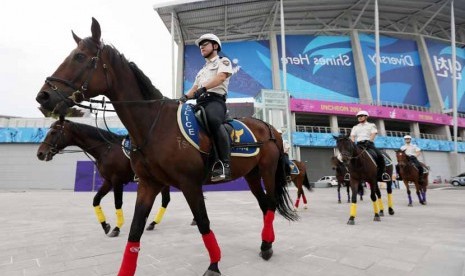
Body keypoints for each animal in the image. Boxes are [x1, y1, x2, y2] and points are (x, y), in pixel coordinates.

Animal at [35, 119, 171, 236]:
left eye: (53, 132)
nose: (40, 153)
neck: (106, 149)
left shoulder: (117, 181)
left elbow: (118, 203)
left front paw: (116, 228)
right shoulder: (108, 181)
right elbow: (96, 200)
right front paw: (105, 225)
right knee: (166, 200)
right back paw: (152, 223)